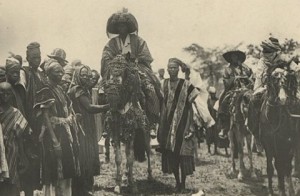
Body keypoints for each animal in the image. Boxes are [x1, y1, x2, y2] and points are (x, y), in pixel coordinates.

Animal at [103, 54, 155, 193]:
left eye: (125, 71)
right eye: (109, 71)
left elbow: (130, 158)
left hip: (145, 132)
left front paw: (132, 184)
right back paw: (126, 175)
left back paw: (149, 176)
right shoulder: (116, 132)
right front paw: (118, 184)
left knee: (147, 150)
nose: (112, 93)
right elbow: (119, 158)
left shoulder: (131, 133)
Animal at [258, 68, 298, 196]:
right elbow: (271, 168)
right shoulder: (268, 145)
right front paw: (271, 190)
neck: (273, 119)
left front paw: (284, 190)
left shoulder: (285, 144)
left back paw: (290, 189)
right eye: (275, 80)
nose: (283, 99)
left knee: (287, 166)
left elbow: (282, 167)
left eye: (286, 80)